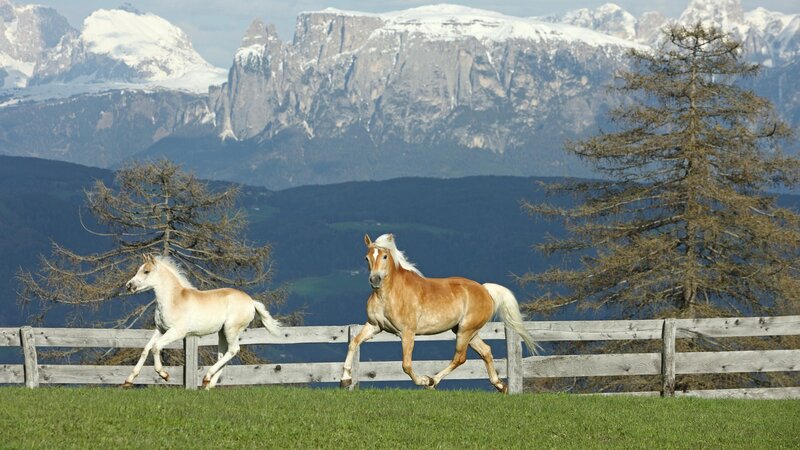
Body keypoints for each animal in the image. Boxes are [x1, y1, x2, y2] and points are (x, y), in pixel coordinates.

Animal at [122, 254, 281, 389]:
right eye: (139, 270)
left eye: (146, 271)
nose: (129, 285)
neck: (173, 300)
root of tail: (251, 302)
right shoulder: (160, 330)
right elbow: (146, 349)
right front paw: (128, 381)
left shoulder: (177, 332)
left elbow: (156, 347)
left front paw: (164, 375)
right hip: (222, 332)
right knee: (223, 354)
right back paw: (208, 385)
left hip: (231, 329)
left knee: (233, 350)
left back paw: (207, 377)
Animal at [341, 233, 536, 393]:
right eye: (367, 258)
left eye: (385, 256)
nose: (375, 280)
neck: (389, 294)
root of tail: (485, 290)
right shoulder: (374, 326)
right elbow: (353, 343)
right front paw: (345, 380)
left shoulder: (407, 333)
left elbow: (406, 365)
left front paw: (423, 381)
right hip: (465, 331)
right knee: (486, 351)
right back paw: (500, 386)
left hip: (466, 330)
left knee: (460, 357)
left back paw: (433, 381)